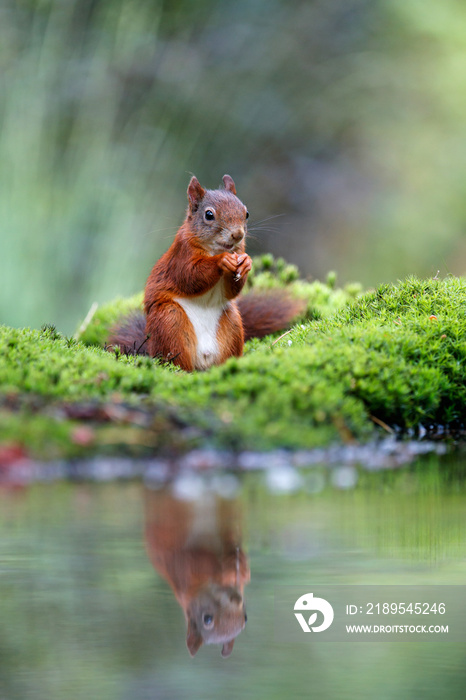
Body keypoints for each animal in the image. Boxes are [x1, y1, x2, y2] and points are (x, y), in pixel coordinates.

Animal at [110, 175, 304, 372]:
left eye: (246, 213)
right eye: (209, 215)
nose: (238, 234)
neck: (215, 249)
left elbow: (231, 290)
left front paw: (246, 262)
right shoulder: (182, 255)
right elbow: (190, 277)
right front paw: (222, 260)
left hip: (232, 323)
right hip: (169, 321)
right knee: (176, 360)